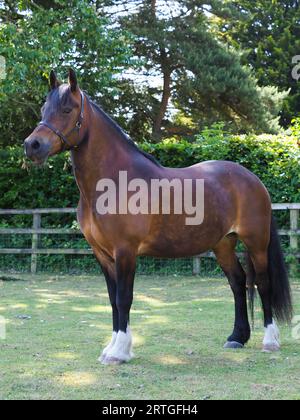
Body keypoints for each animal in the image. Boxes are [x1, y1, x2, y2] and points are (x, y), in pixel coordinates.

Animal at [24, 69, 292, 364]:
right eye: (43, 109)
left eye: (67, 109)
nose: (32, 145)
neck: (113, 182)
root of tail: (253, 180)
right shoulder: (102, 254)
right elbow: (112, 299)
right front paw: (112, 348)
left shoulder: (125, 251)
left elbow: (124, 298)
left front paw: (119, 351)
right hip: (223, 243)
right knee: (238, 282)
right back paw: (236, 338)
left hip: (256, 242)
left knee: (263, 284)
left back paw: (270, 340)